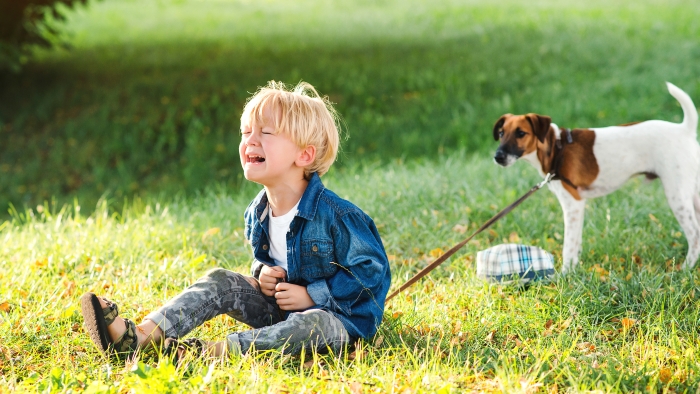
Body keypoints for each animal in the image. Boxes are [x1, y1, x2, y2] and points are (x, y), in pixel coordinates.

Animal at [492, 82, 700, 274]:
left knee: (695, 234)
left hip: (677, 197)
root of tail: (685, 130)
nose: (498, 157)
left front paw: (564, 275)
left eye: (521, 133)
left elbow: (568, 246)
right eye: (501, 134)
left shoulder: (573, 204)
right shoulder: (577, 207)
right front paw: (574, 271)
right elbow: (576, 244)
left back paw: (686, 268)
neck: (556, 148)